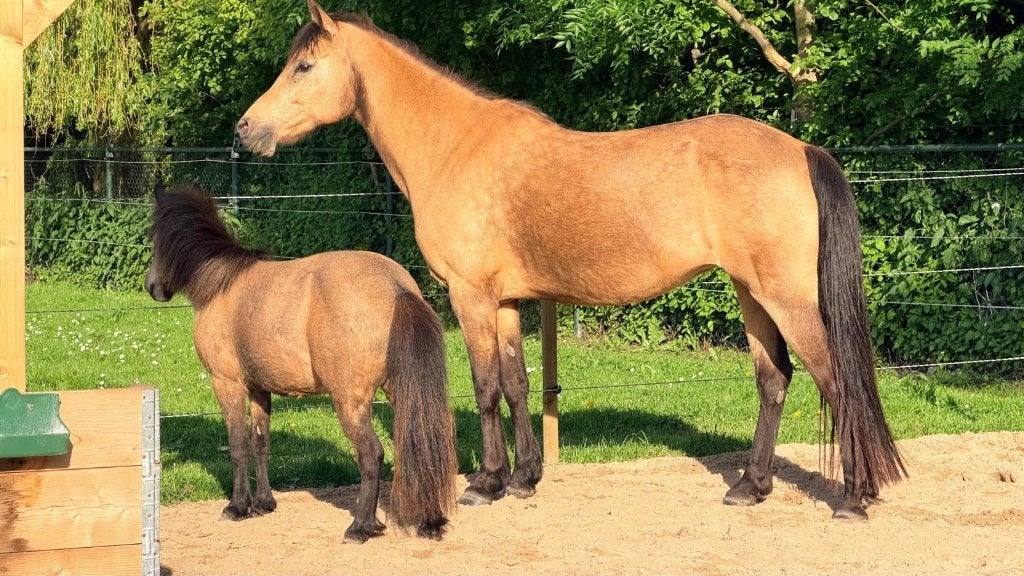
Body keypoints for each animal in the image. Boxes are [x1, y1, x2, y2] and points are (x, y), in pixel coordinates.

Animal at [145, 182, 457, 542]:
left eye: (154, 237)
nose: (152, 287)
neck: (222, 286)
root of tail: (396, 288)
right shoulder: (259, 389)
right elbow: (261, 443)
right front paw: (263, 504)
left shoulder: (227, 384)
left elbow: (238, 446)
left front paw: (237, 507)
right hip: (399, 392)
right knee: (424, 441)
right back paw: (429, 521)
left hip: (350, 402)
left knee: (371, 454)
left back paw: (360, 526)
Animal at [236, 0, 906, 520]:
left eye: (304, 66)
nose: (246, 130)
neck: (454, 146)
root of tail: (799, 149)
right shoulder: (507, 300)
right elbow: (516, 384)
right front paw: (524, 478)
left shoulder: (470, 295)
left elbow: (485, 386)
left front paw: (486, 484)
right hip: (751, 293)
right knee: (775, 380)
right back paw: (750, 487)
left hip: (785, 296)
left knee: (834, 377)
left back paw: (852, 497)